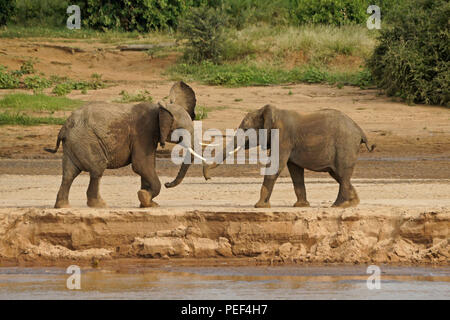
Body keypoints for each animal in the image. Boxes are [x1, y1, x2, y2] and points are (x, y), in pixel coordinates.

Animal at [44, 81, 207, 209]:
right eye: (181, 131)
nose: (168, 183)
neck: (162, 107)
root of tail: (64, 127)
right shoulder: (143, 132)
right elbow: (141, 165)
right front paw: (145, 197)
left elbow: (146, 166)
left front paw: (148, 203)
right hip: (86, 141)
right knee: (97, 169)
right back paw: (100, 205)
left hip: (74, 143)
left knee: (69, 174)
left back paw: (63, 206)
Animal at [202, 105, 374, 209]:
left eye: (245, 129)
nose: (208, 178)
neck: (273, 112)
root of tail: (361, 131)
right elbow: (295, 172)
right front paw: (301, 206)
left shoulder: (283, 137)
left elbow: (275, 166)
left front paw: (259, 206)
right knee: (339, 175)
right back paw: (353, 202)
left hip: (345, 146)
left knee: (342, 174)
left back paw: (338, 206)